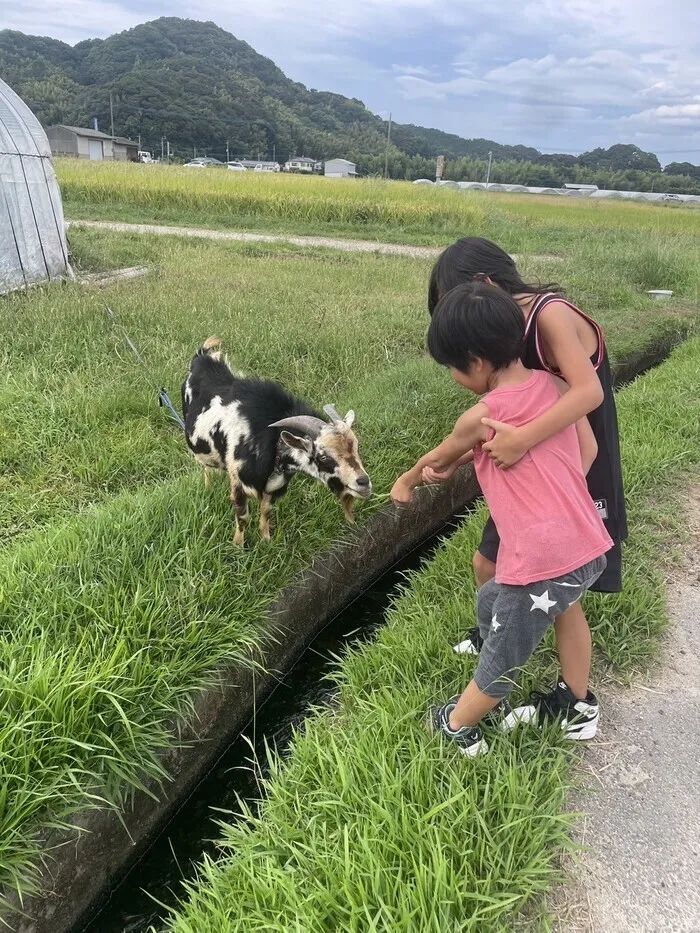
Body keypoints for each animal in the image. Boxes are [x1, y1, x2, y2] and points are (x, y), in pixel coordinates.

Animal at [183, 338, 374, 548]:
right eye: (322, 456)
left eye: (356, 446)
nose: (363, 482)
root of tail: (202, 355)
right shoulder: (238, 482)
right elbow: (242, 516)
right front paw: (238, 546)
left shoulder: (274, 487)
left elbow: (266, 512)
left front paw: (267, 540)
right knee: (205, 467)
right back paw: (208, 486)